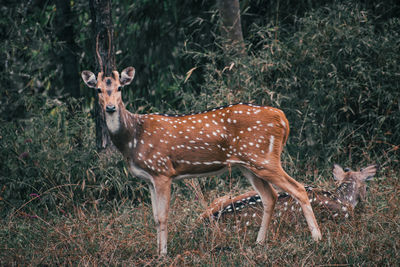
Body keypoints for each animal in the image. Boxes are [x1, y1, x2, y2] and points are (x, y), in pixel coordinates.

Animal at [81, 66, 322, 256]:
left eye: (120, 88)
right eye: (98, 90)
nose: (110, 107)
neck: (133, 138)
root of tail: (282, 118)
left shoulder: (163, 171)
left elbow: (163, 216)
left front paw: (164, 254)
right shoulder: (148, 179)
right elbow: (155, 217)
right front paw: (157, 251)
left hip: (264, 158)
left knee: (298, 188)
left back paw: (317, 238)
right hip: (249, 165)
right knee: (270, 197)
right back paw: (259, 242)